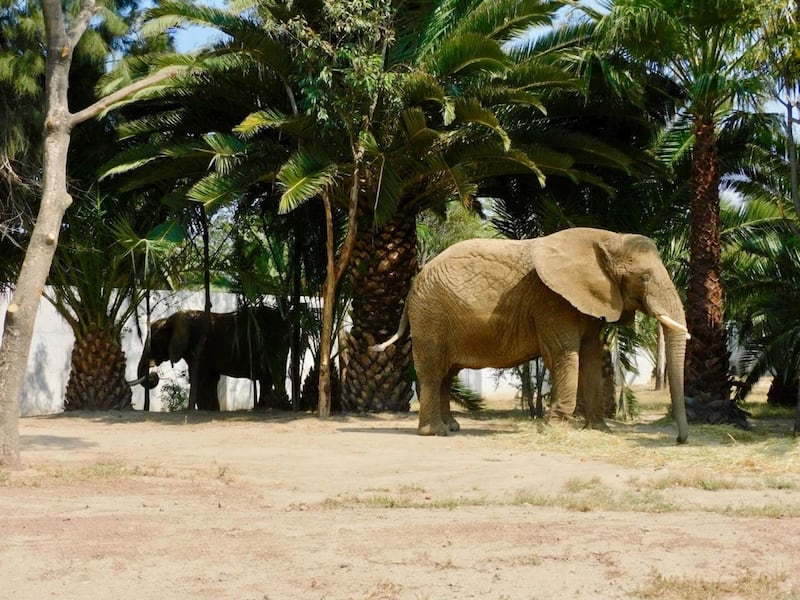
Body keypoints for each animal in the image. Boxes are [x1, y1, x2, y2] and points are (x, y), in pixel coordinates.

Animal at [139, 308, 292, 410]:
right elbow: (211, 379)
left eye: (154, 342)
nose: (153, 373)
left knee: (269, 377)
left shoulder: (200, 348)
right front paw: (212, 410)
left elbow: (201, 379)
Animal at [372, 227, 692, 442]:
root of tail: (414, 284)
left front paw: (598, 429)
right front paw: (554, 427)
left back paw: (452, 427)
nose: (679, 439)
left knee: (447, 374)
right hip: (431, 316)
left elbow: (591, 353)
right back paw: (435, 432)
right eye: (644, 278)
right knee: (433, 371)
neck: (605, 239)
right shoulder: (551, 300)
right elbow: (565, 354)